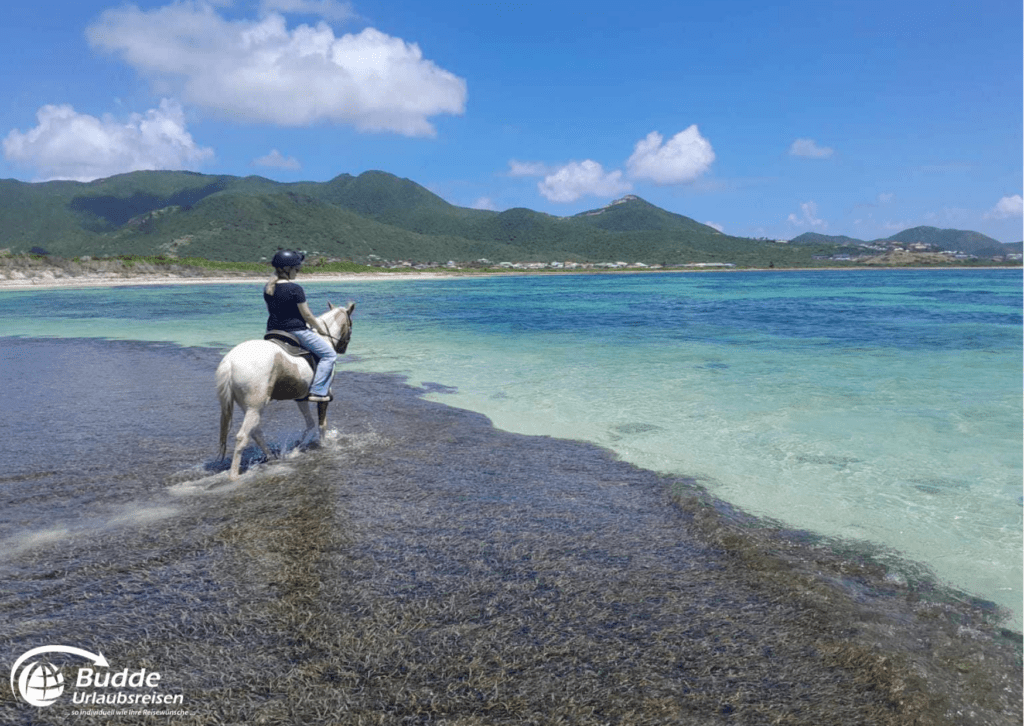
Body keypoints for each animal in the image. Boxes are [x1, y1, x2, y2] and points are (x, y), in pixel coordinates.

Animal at [214, 299, 354, 475]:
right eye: (351, 324)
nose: (343, 349)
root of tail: (230, 361)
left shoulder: (301, 398)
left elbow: (310, 424)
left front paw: (298, 448)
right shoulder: (324, 397)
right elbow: (322, 425)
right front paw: (324, 447)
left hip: (248, 406)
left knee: (256, 433)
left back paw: (271, 457)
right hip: (255, 406)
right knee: (242, 437)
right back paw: (234, 476)